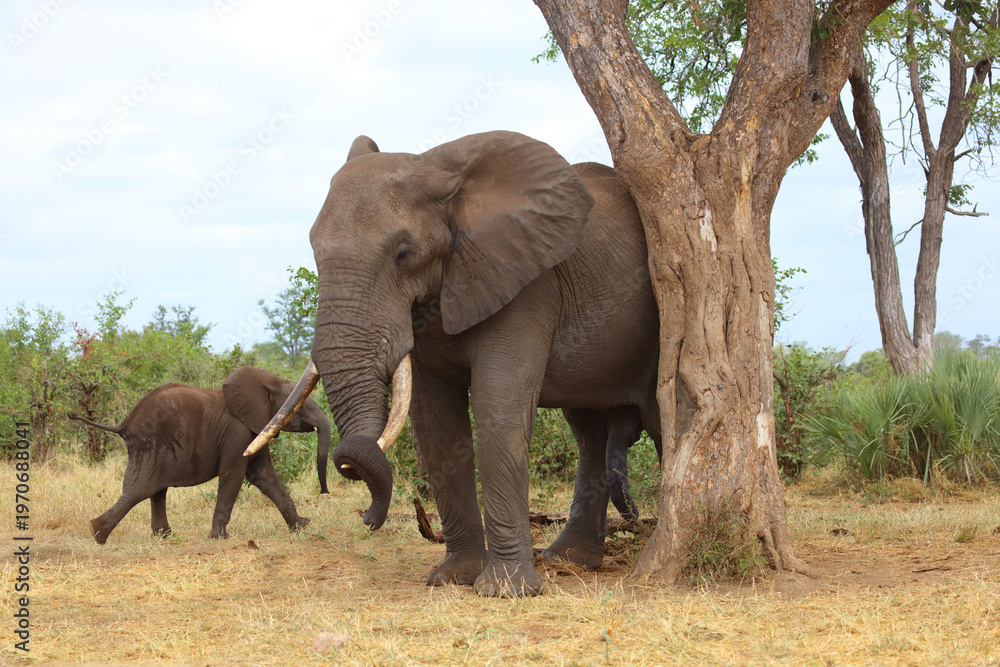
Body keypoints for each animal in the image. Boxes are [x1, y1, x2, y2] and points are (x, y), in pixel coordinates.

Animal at [69, 366, 331, 544]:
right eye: (301, 405)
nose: (324, 492)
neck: (265, 382)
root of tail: (124, 423)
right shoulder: (238, 431)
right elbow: (233, 475)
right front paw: (220, 538)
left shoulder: (255, 428)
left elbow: (263, 475)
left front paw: (302, 526)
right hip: (149, 444)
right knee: (141, 490)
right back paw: (97, 533)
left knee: (155, 491)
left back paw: (163, 537)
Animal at [247, 131, 663, 597]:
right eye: (314, 251)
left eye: (404, 254)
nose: (368, 519)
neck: (436, 169)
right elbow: (434, 420)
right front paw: (451, 579)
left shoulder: (526, 280)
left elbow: (495, 406)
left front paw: (505, 591)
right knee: (588, 428)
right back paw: (569, 559)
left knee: (659, 419)